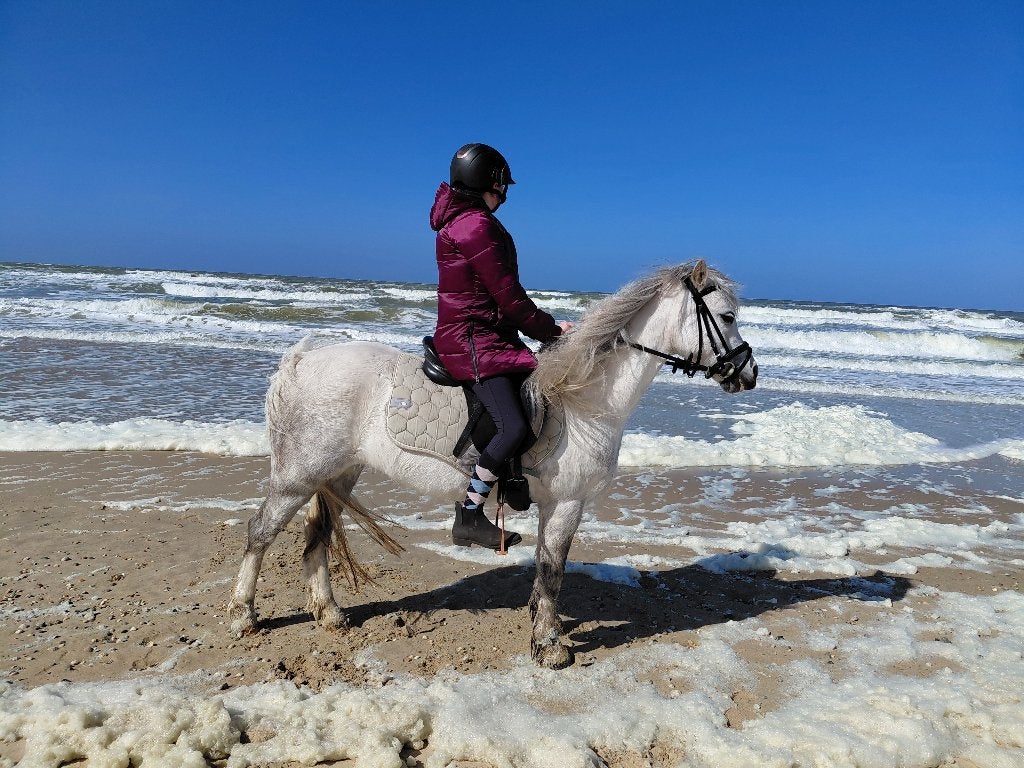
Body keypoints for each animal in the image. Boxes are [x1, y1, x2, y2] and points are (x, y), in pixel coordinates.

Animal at [227, 259, 758, 668]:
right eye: (728, 316)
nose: (749, 373)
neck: (584, 399)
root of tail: (302, 358)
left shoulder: (556, 506)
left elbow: (545, 569)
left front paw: (541, 625)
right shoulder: (567, 504)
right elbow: (553, 568)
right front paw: (550, 648)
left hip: (338, 473)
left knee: (317, 534)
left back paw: (330, 614)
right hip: (299, 474)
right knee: (260, 531)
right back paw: (243, 615)